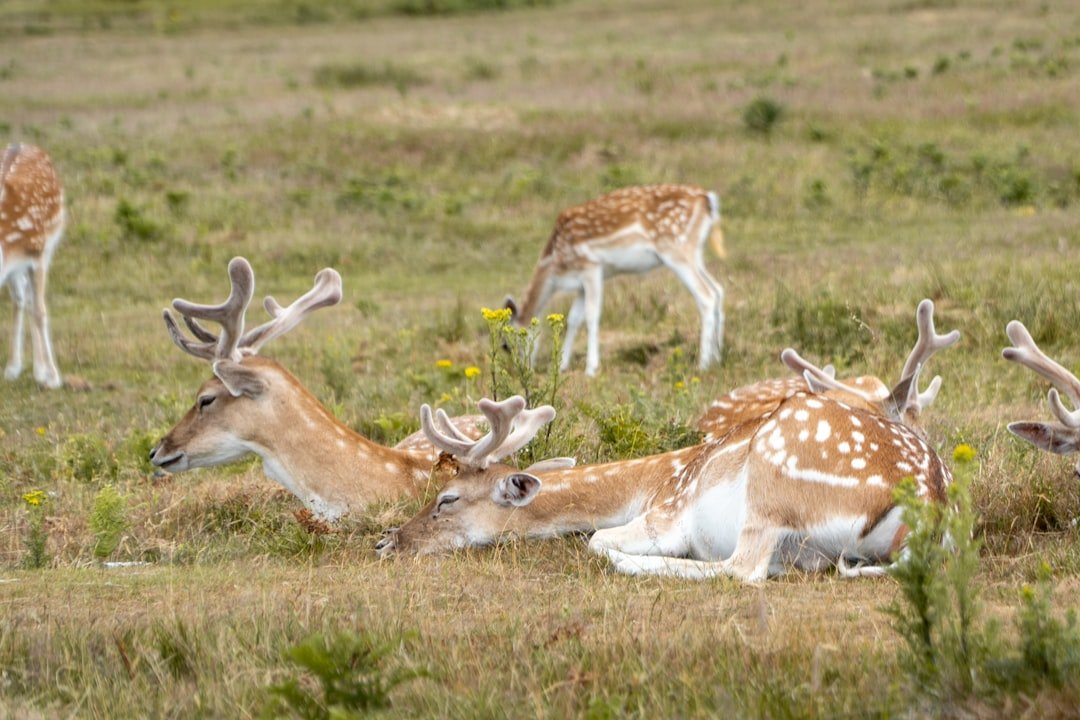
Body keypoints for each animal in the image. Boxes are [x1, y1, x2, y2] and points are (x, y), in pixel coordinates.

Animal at [1, 143, 65, 389]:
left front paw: (54, 378)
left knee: (30, 302)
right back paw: (14, 368)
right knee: (21, 300)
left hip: (48, 245)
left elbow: (40, 311)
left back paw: (40, 371)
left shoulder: (37, 255)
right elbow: (25, 303)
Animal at [377, 299, 960, 582]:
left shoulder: (667, 512)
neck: (648, 482)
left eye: (447, 500)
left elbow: (596, 538)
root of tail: (927, 507)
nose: (387, 541)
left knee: (744, 569)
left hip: (774, 479)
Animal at [503, 184, 725, 376]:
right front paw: (561, 366)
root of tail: (708, 199)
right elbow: (573, 318)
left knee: (706, 295)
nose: (521, 371)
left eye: (505, 345)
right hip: (694, 253)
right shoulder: (581, 284)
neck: (557, 267)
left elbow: (591, 315)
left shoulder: (591, 266)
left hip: (674, 249)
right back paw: (718, 356)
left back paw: (703, 364)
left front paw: (590, 369)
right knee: (718, 290)